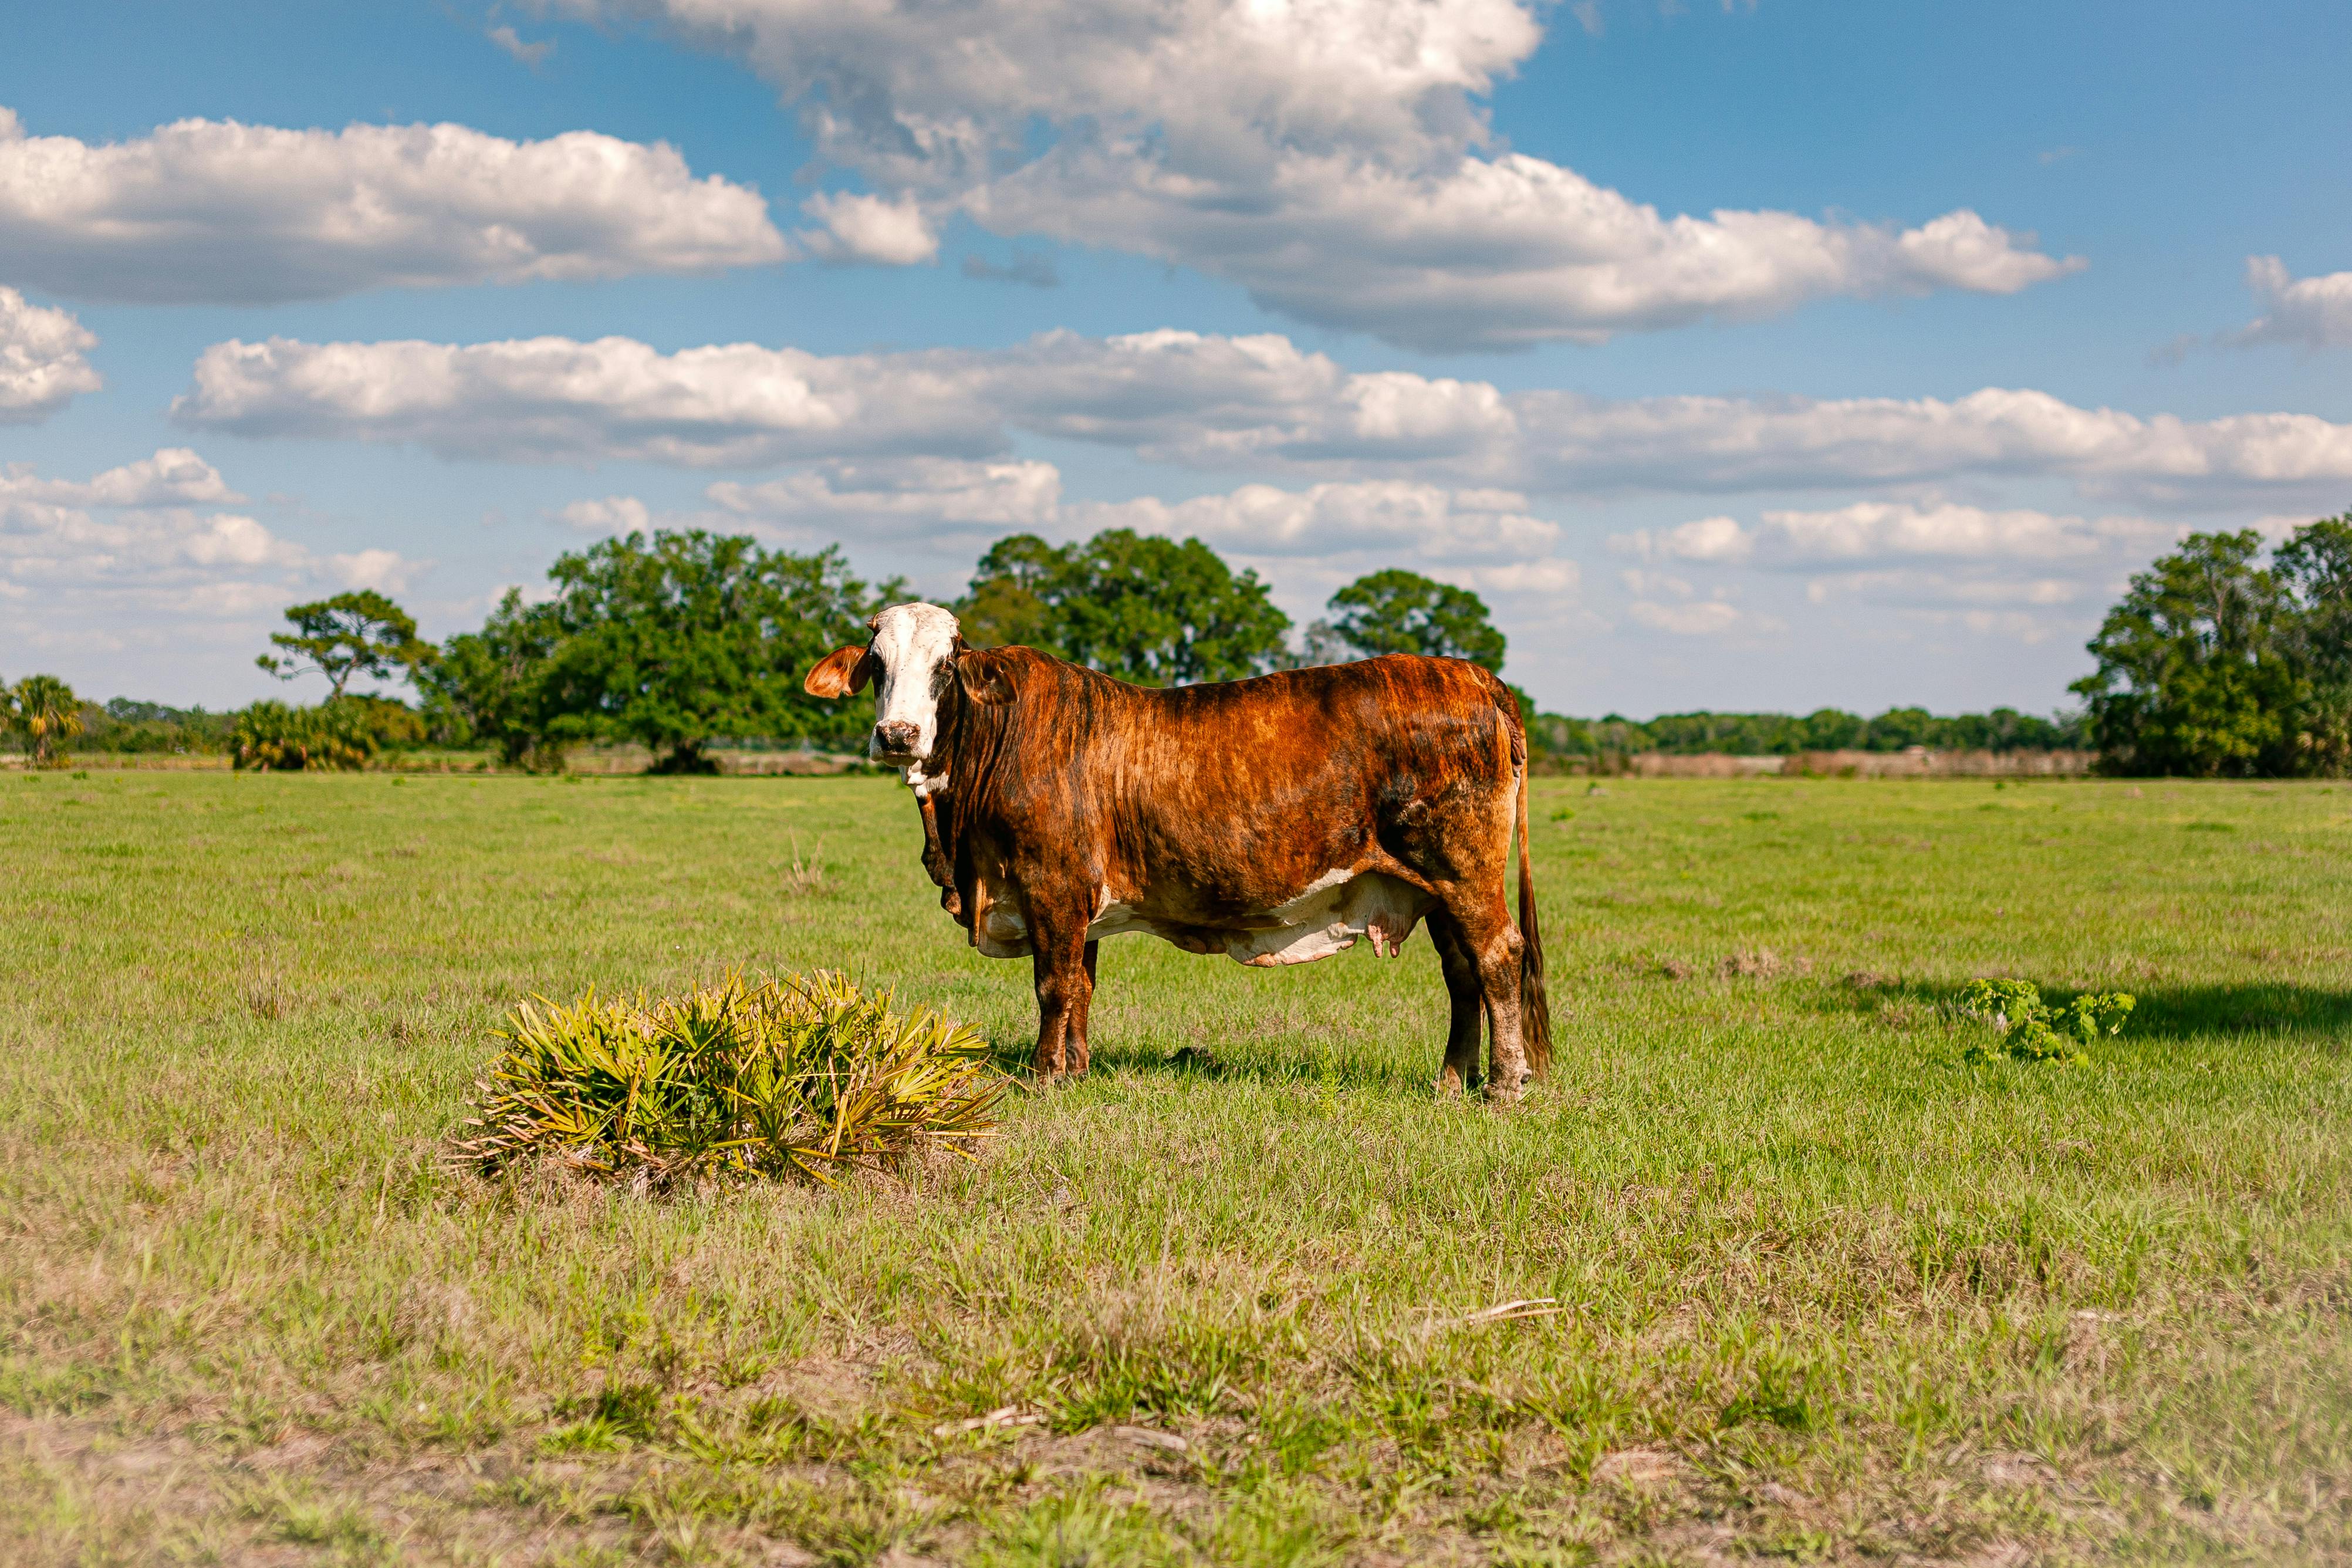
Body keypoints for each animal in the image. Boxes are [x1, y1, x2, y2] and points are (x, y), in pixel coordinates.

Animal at [799, 606, 1552, 1100]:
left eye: (945, 666)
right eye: (877, 664)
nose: (898, 734)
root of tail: (1473, 675)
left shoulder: (1051, 886)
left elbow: (1053, 985)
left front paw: (1045, 1076)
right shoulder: (1078, 902)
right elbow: (1082, 985)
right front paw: (1077, 1068)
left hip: (1464, 872)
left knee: (1498, 957)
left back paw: (1504, 1084)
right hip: (1436, 888)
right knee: (1462, 974)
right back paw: (1452, 1079)